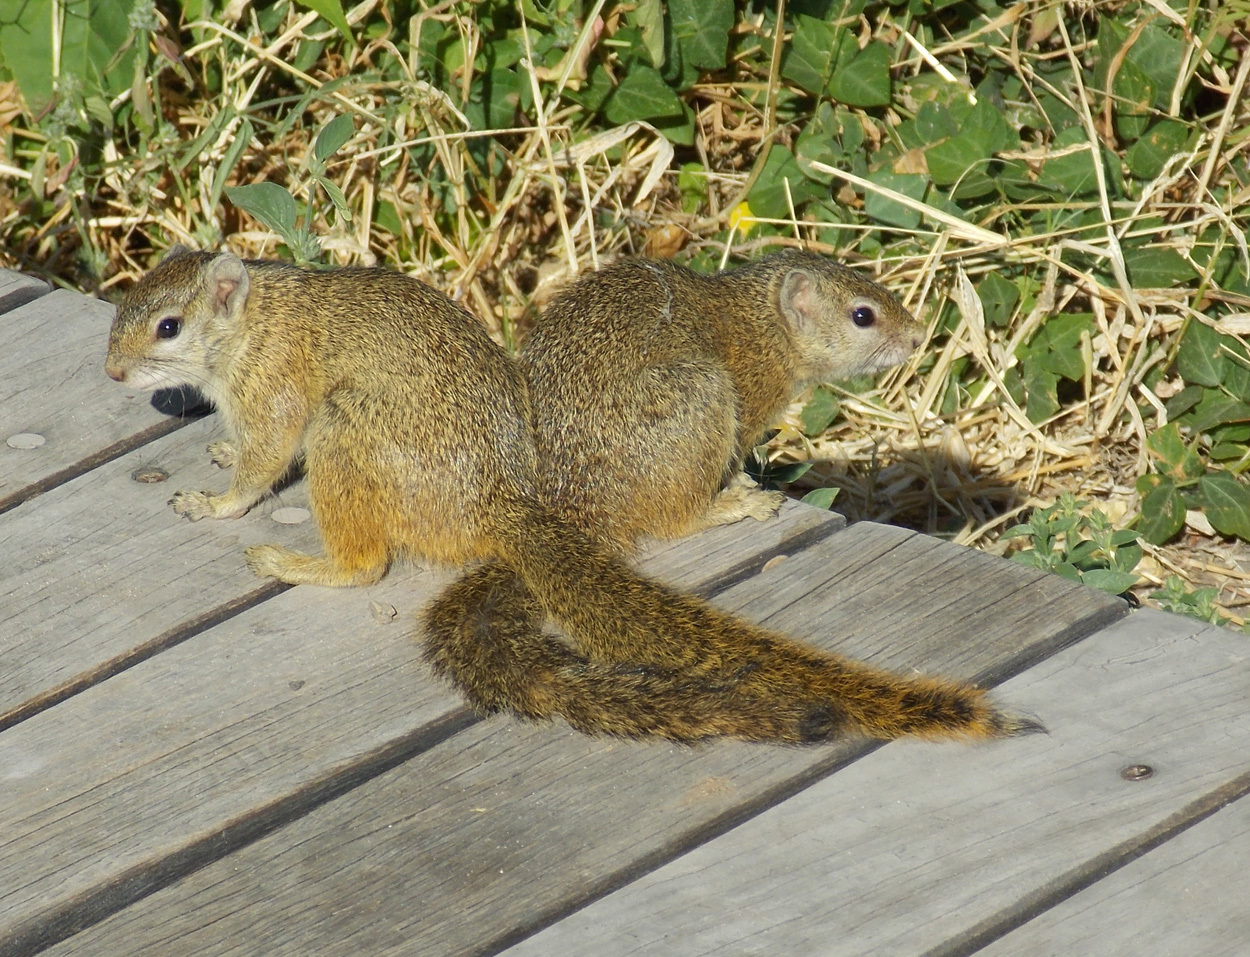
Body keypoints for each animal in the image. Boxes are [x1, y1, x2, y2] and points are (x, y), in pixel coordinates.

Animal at [110, 244, 1045, 739]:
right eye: (863, 315)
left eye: (166, 325)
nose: (917, 337)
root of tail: (529, 509)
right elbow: (258, 457)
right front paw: (221, 479)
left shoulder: (271, 386)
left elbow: (262, 455)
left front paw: (220, 486)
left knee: (369, 562)